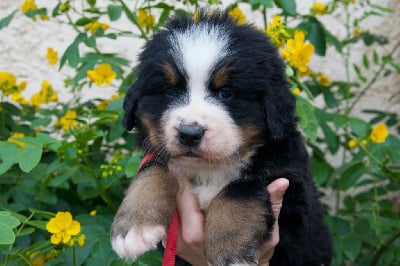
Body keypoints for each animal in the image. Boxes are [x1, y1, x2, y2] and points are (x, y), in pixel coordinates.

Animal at [111, 9, 332, 266]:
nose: (189, 134)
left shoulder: (290, 188)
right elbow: (151, 172)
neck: (209, 170)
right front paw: (133, 227)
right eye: (170, 91)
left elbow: (238, 190)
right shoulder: (158, 154)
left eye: (226, 93)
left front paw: (231, 251)